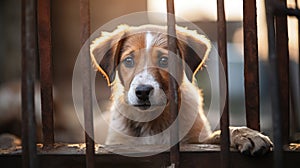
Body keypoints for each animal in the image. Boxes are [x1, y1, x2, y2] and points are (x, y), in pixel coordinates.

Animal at [90, 24, 274, 156]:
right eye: (128, 61)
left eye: (164, 61)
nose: (142, 91)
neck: (153, 121)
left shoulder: (196, 141)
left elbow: (222, 132)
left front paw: (248, 135)